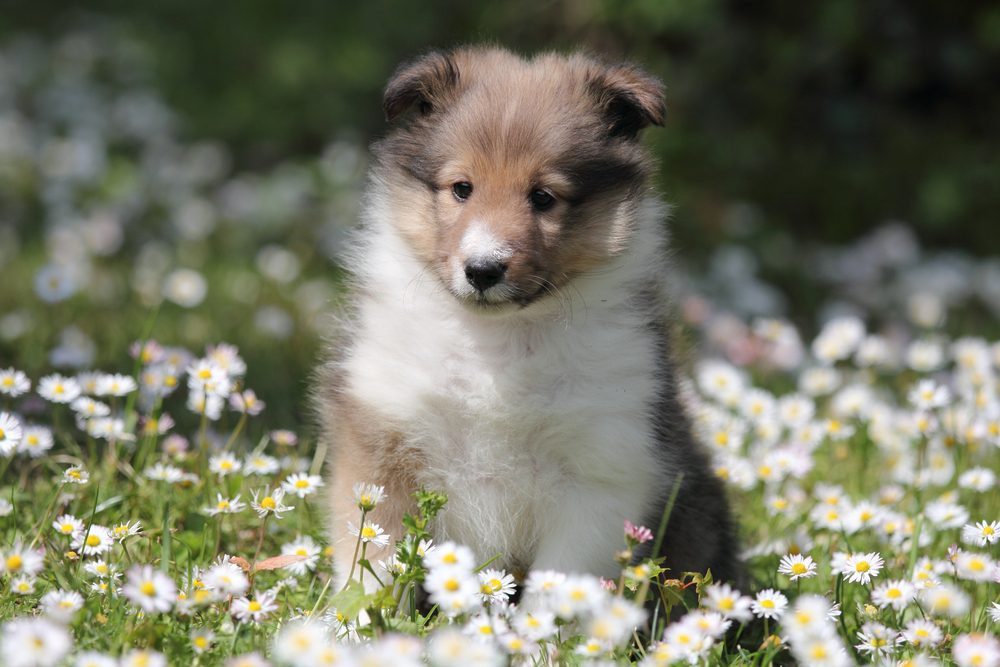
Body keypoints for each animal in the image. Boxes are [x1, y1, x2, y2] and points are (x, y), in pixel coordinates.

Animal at [320, 45, 744, 588]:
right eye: (462, 188)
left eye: (543, 197)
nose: (483, 270)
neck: (498, 340)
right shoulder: (382, 444)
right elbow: (376, 566)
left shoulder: (602, 471)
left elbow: (558, 584)